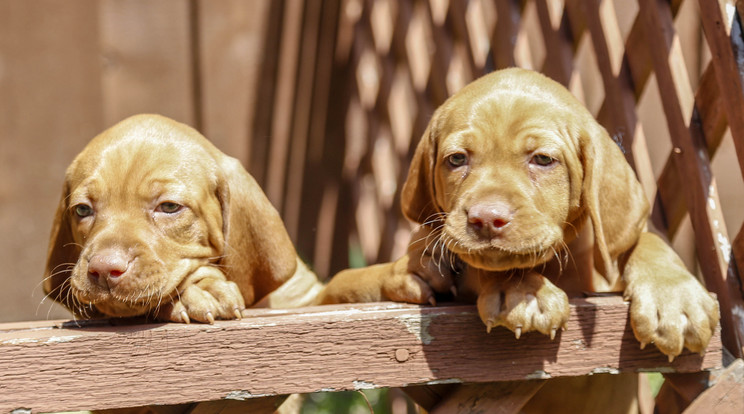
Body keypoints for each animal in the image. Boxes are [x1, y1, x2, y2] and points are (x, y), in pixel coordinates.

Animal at [322, 67, 716, 360]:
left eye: (542, 159)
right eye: (457, 159)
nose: (485, 219)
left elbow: (647, 239)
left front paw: (674, 300)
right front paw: (521, 291)